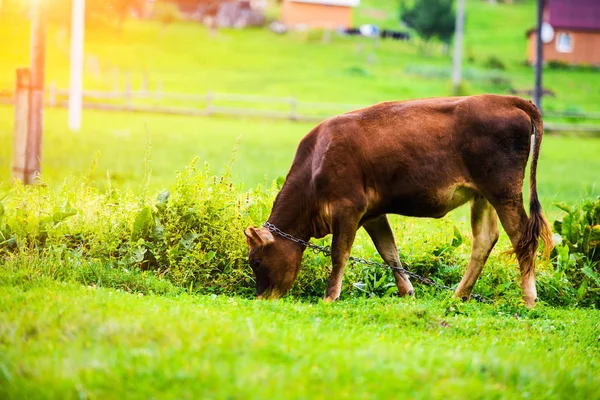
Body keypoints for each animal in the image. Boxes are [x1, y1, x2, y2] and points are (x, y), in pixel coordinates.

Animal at [244, 95, 552, 308]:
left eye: (256, 262)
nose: (261, 299)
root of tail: (504, 99)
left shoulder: (348, 207)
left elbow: (339, 253)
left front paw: (330, 296)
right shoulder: (372, 214)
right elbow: (388, 252)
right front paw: (407, 291)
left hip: (504, 191)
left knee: (522, 237)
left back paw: (528, 299)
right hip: (483, 195)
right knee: (485, 239)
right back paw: (458, 295)